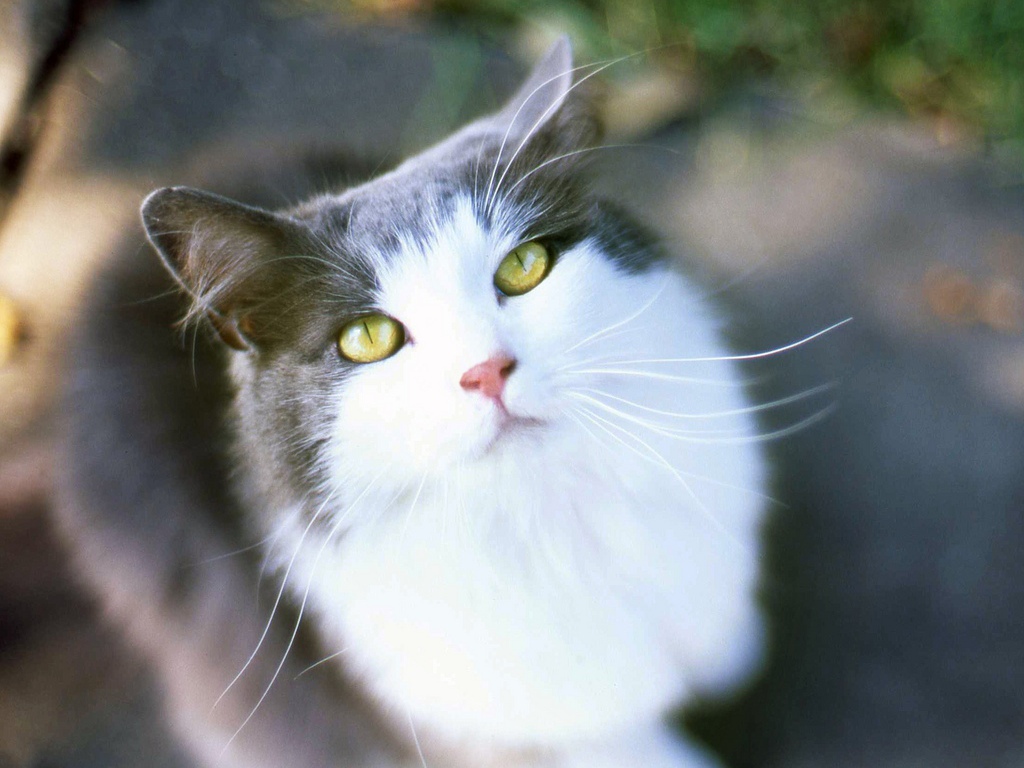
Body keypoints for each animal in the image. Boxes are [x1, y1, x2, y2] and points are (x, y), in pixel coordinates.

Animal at [58, 37, 770, 768]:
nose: (486, 372)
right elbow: (614, 738)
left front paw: (732, 650)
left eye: (524, 268)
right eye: (369, 338)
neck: (547, 517)